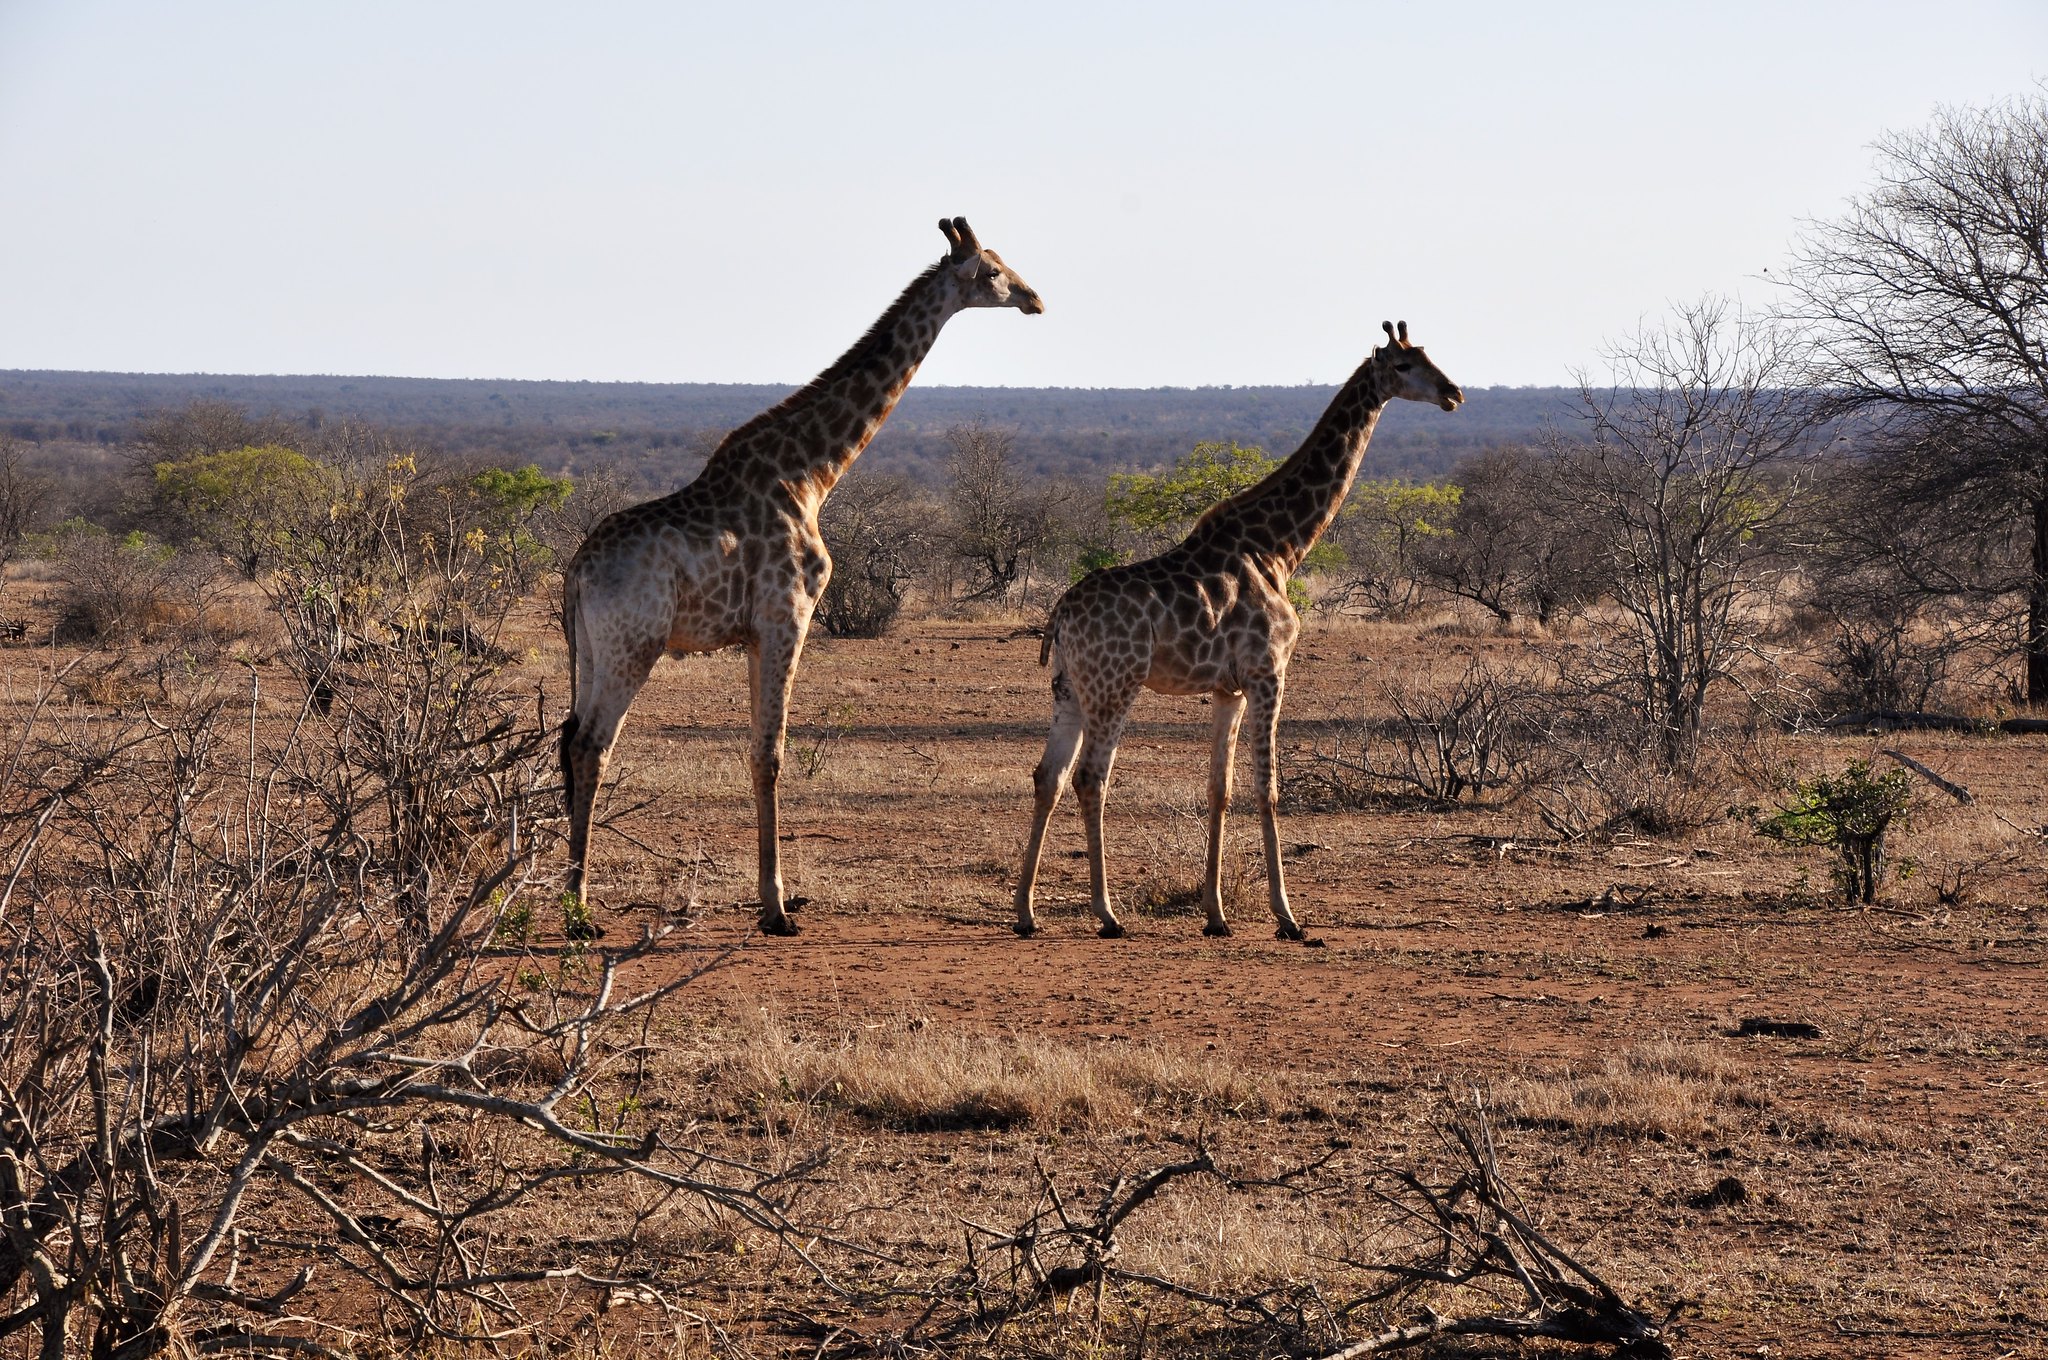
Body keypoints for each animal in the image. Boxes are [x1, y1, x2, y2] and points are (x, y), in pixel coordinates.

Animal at [561, 218, 1040, 933]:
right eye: (991, 272)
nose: (1036, 299)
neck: (814, 474)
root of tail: (577, 571)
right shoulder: (789, 615)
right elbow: (772, 754)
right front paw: (776, 907)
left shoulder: (757, 633)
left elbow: (758, 750)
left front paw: (773, 900)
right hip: (633, 645)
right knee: (593, 744)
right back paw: (578, 913)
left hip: (591, 647)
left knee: (569, 740)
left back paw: (568, 895)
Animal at [1007, 319, 1458, 942]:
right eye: (1406, 366)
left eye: (1430, 356)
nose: (1454, 393)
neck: (1280, 548)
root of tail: (1061, 615)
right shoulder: (1270, 672)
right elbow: (1267, 788)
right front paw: (1287, 916)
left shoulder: (1228, 687)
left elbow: (1218, 789)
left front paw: (1216, 915)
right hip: (1115, 684)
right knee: (1090, 778)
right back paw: (1106, 913)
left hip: (1068, 687)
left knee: (1047, 775)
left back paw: (1025, 912)